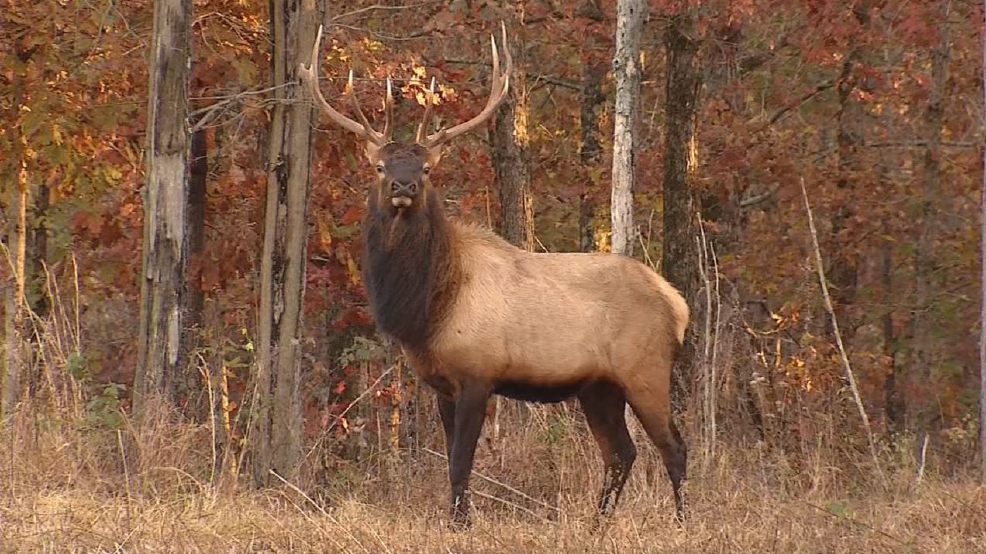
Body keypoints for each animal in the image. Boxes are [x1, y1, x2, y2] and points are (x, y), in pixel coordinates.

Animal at [299, 23, 690, 529]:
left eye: (426, 167)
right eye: (380, 166)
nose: (404, 186)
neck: (429, 308)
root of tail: (677, 303)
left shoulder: (478, 372)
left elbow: (461, 460)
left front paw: (460, 524)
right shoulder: (441, 383)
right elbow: (452, 459)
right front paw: (458, 519)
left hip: (646, 368)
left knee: (674, 448)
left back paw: (681, 523)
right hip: (598, 386)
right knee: (622, 453)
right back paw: (597, 526)